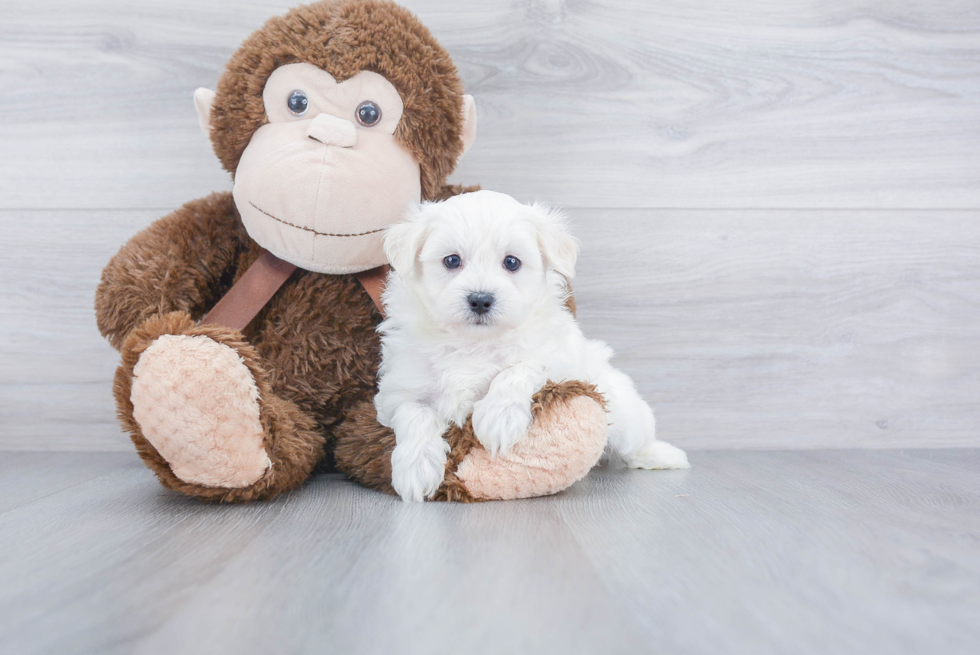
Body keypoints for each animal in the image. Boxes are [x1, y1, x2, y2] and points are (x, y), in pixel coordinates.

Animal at [376, 190, 688, 502]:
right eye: (452, 260)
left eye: (512, 262)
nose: (480, 299)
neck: (474, 342)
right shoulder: (400, 388)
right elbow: (414, 415)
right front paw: (417, 468)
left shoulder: (559, 356)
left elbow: (520, 367)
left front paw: (498, 417)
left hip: (624, 414)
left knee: (634, 443)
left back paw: (664, 456)